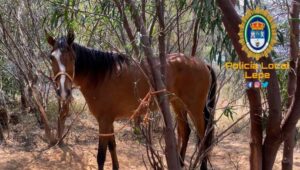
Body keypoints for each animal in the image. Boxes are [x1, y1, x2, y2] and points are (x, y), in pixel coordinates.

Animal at [45, 30, 217, 170]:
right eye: (52, 58)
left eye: (71, 57)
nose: (63, 91)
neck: (101, 76)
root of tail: (202, 63)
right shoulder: (108, 120)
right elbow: (112, 146)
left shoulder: (104, 121)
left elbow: (101, 156)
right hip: (177, 104)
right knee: (185, 131)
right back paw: (180, 163)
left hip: (195, 109)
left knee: (203, 137)